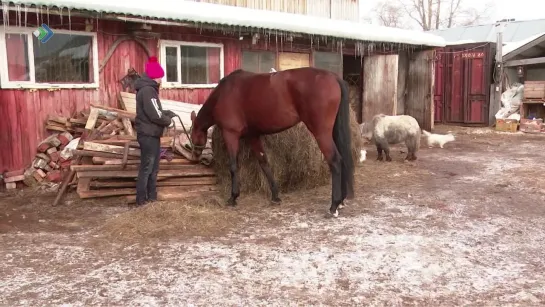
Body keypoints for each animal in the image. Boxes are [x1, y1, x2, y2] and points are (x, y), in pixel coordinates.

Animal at [189, 67, 354, 218]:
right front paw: (275, 196)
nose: (195, 155)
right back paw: (341, 202)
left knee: (335, 161)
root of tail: (333, 77)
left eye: (192, 132)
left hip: (321, 133)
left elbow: (233, 166)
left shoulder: (231, 134)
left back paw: (334, 206)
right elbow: (264, 163)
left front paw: (233, 197)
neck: (224, 93)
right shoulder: (253, 136)